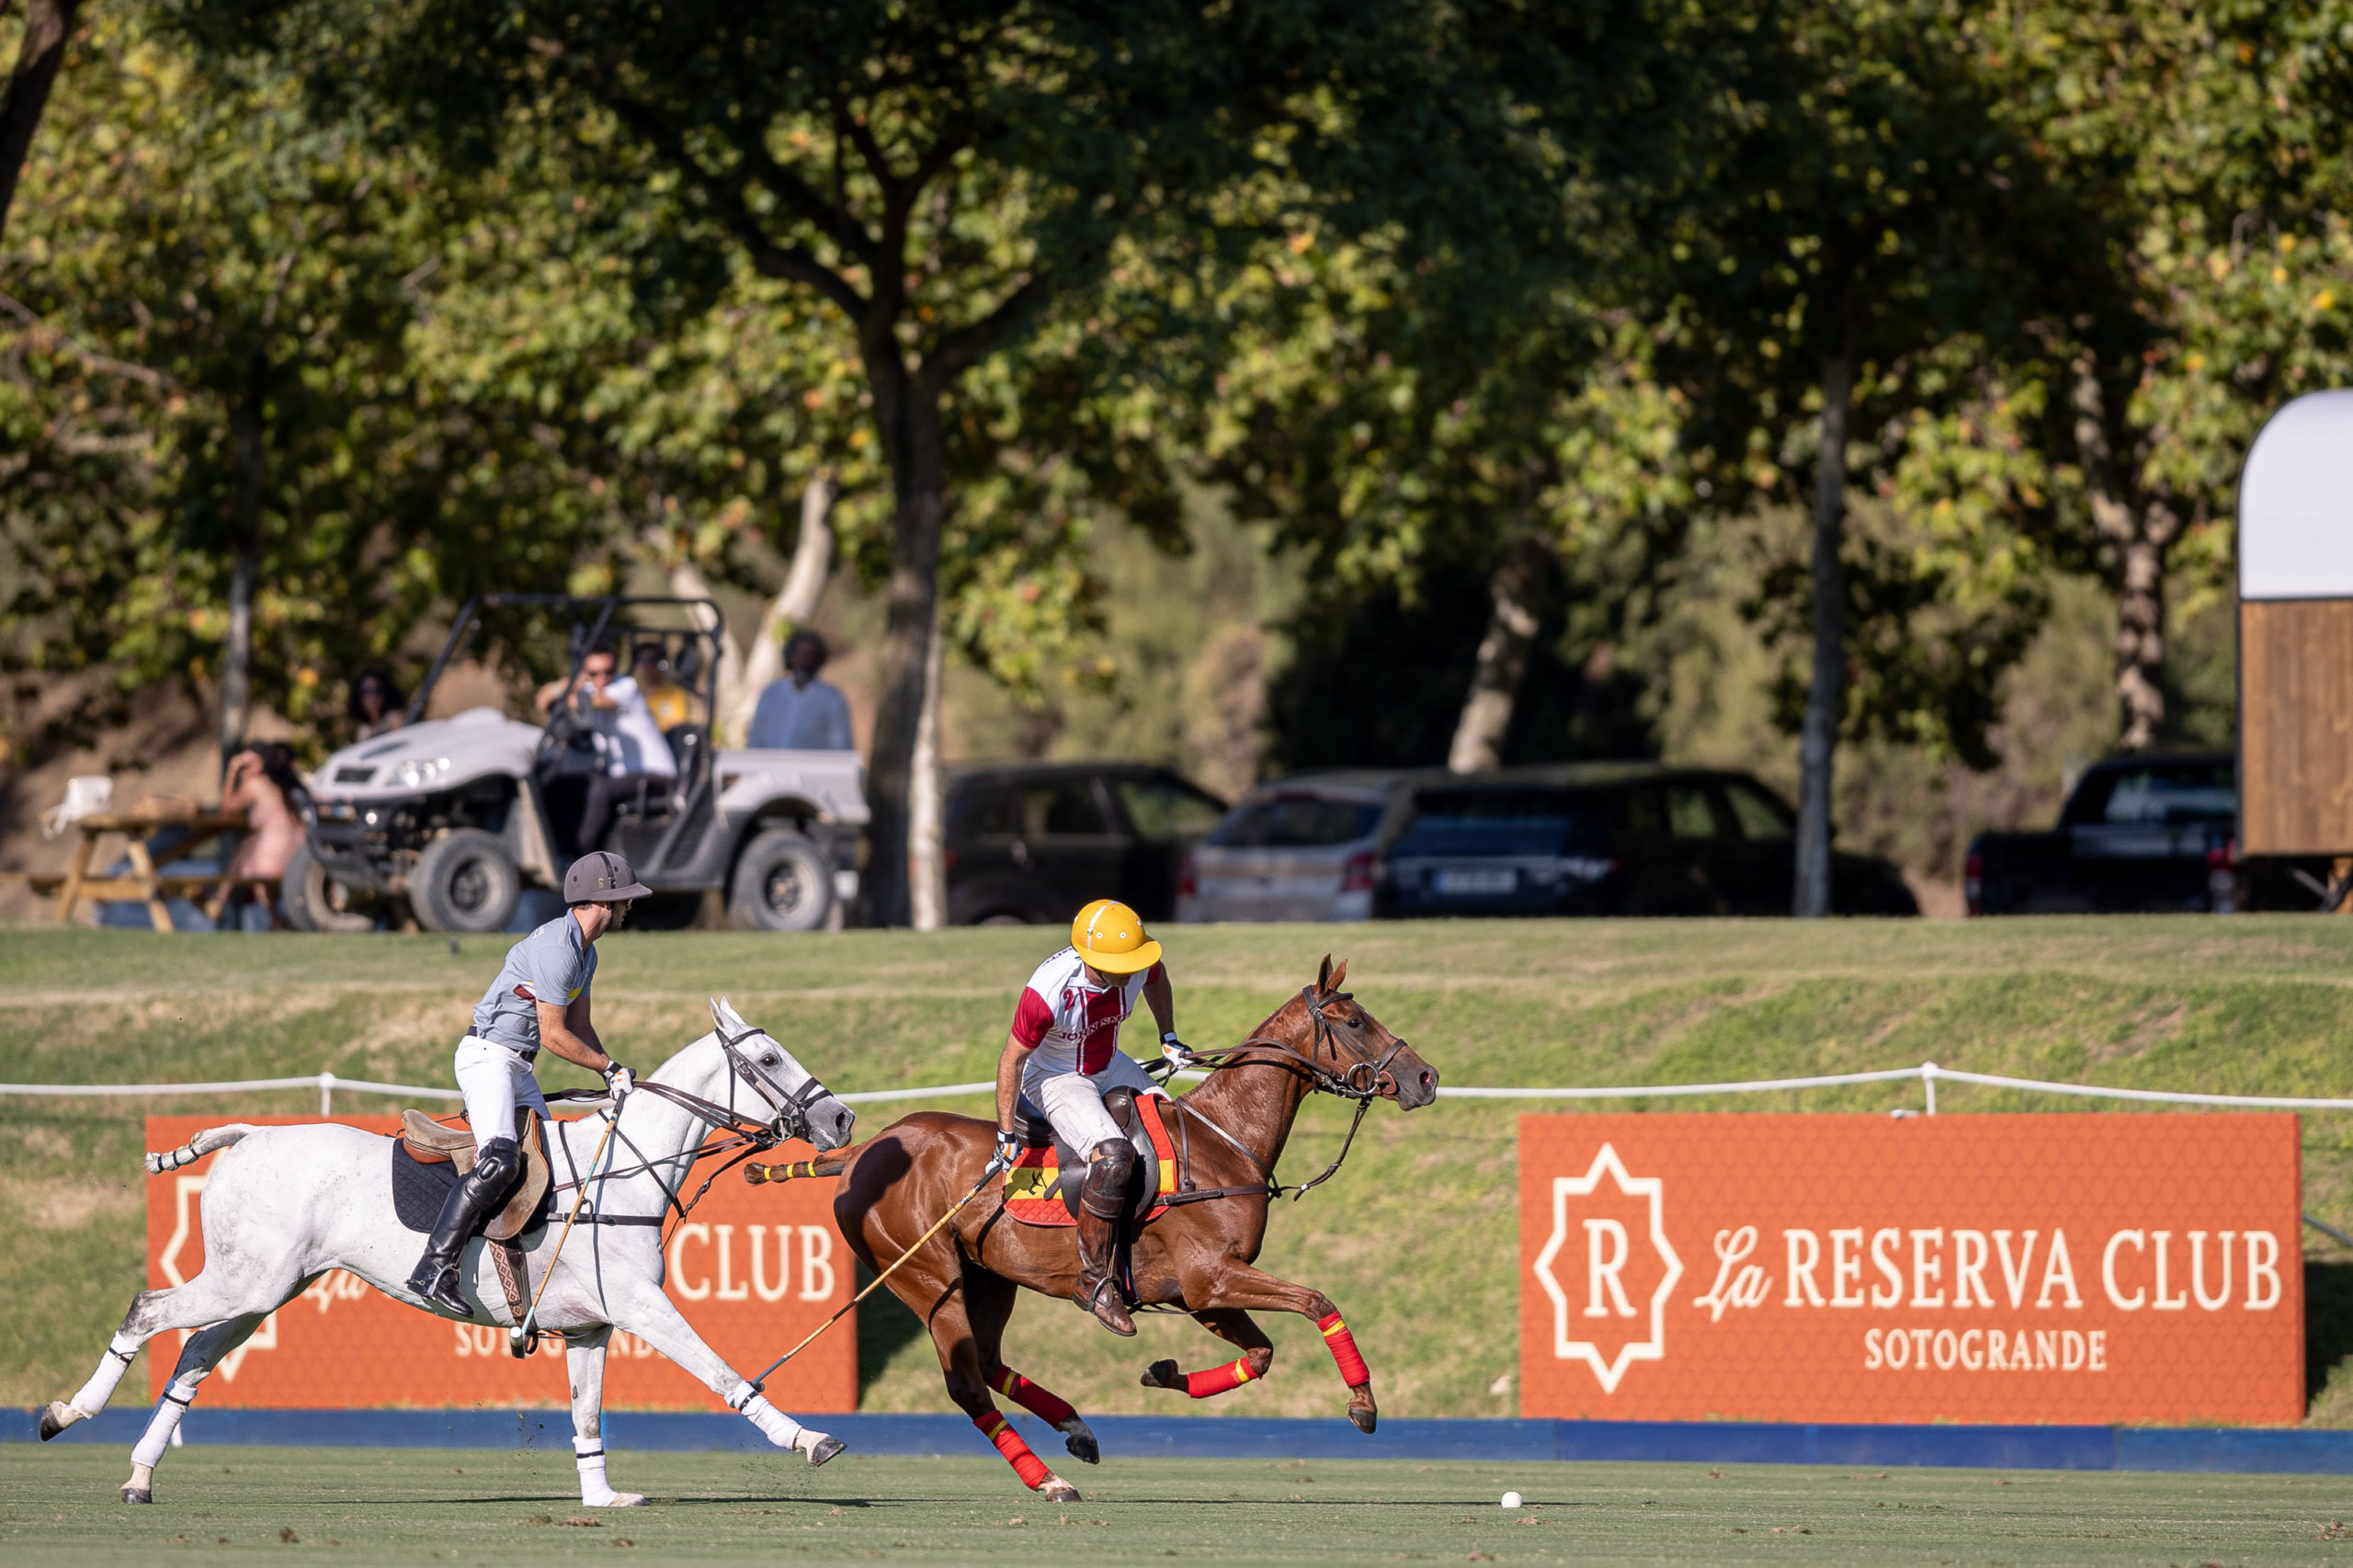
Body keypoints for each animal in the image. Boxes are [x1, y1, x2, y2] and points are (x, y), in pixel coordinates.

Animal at [40, 999, 858, 1509]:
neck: (624, 1169)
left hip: (263, 1288)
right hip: (247, 1281)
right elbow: (722, 1372)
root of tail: (246, 1134)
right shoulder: (641, 1308)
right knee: (147, 1310)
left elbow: (588, 1414)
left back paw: (140, 1475)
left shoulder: (591, 1326)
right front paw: (810, 1440)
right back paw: (65, 1414)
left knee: (192, 1357)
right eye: (768, 1057)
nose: (842, 1118)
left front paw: (603, 1497)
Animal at [825, 956, 1438, 1501]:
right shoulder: (1211, 1278)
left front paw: (1164, 1374)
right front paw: (1363, 1404)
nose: (1426, 1078)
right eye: (1354, 1022)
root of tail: (862, 1150)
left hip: (989, 1278)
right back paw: (1050, 1481)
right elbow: (1317, 1302)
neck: (1222, 1140)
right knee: (967, 1383)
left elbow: (1262, 1354)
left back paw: (1077, 1430)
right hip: (926, 1278)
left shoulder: (1201, 1294)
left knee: (988, 1361)